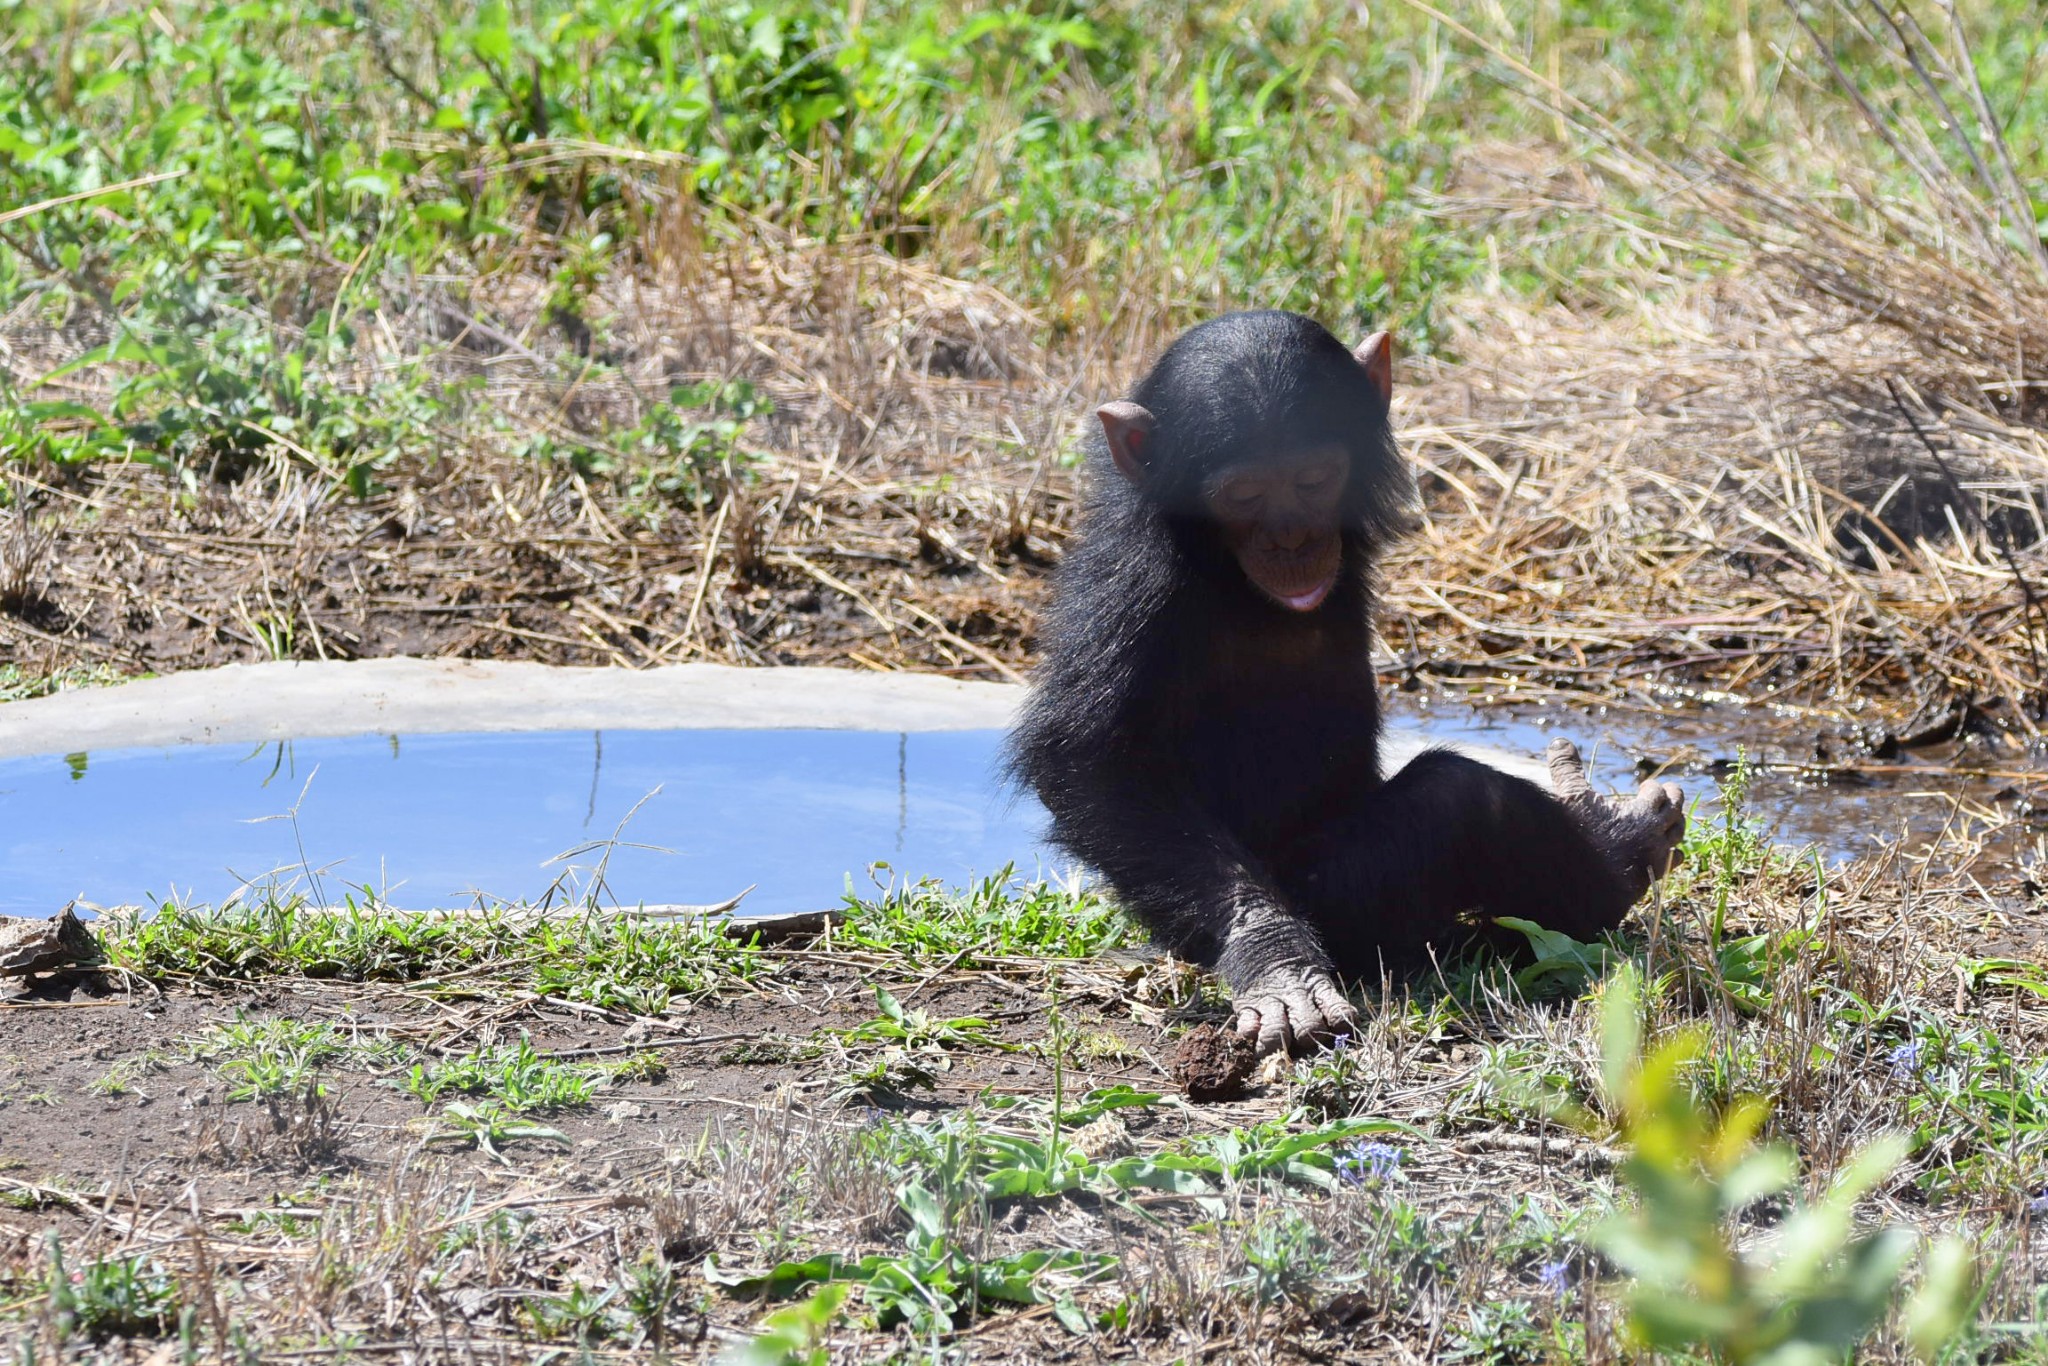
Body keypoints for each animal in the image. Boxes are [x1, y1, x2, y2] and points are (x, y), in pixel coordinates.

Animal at [1015, 313, 1687, 1056]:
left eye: (1315, 477)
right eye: (1244, 495)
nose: (1291, 537)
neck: (1221, 568)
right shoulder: (1136, 584)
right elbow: (1095, 762)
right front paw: (1272, 956)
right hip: (1338, 900)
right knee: (1462, 800)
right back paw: (1620, 853)